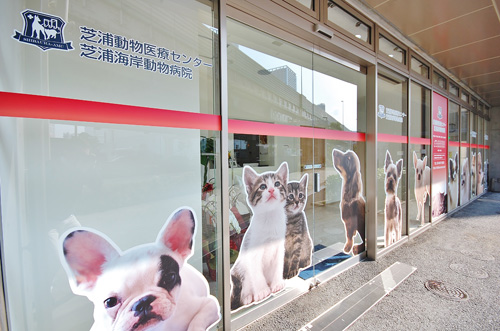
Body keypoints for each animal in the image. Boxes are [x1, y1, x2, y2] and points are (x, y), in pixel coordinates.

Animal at [231, 162, 290, 312]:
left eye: (277, 184)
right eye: (263, 186)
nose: (271, 190)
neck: (270, 217)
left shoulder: (279, 247)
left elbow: (278, 265)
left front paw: (277, 284)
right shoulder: (252, 250)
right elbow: (256, 273)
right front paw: (262, 291)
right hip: (240, 267)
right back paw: (247, 296)